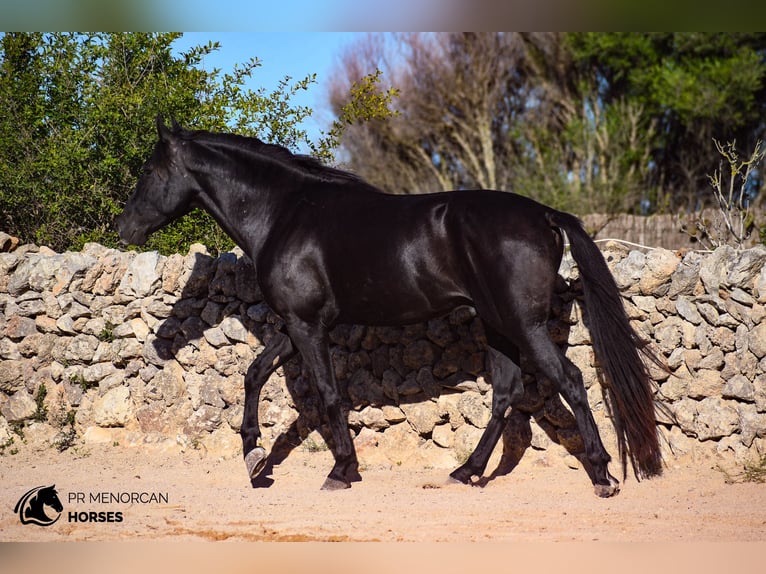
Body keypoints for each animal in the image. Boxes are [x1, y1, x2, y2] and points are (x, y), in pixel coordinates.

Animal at [115, 118, 664, 500]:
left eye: (149, 171)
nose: (124, 229)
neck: (284, 214)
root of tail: (545, 215)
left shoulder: (307, 326)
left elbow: (328, 395)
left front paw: (341, 470)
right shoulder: (295, 325)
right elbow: (253, 375)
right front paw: (254, 458)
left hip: (522, 326)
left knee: (569, 381)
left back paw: (602, 474)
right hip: (498, 326)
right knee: (506, 395)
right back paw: (466, 471)